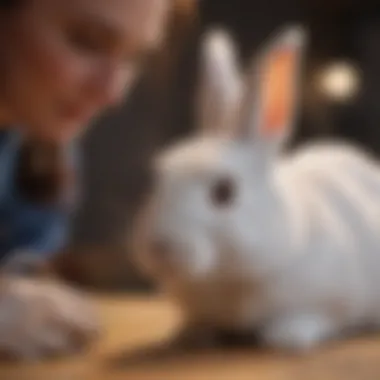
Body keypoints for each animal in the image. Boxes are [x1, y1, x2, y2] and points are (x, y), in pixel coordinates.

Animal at [134, 23, 380, 350]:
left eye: (224, 191)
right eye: (156, 178)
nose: (160, 247)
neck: (226, 279)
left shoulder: (333, 298)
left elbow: (316, 316)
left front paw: (287, 336)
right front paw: (189, 335)